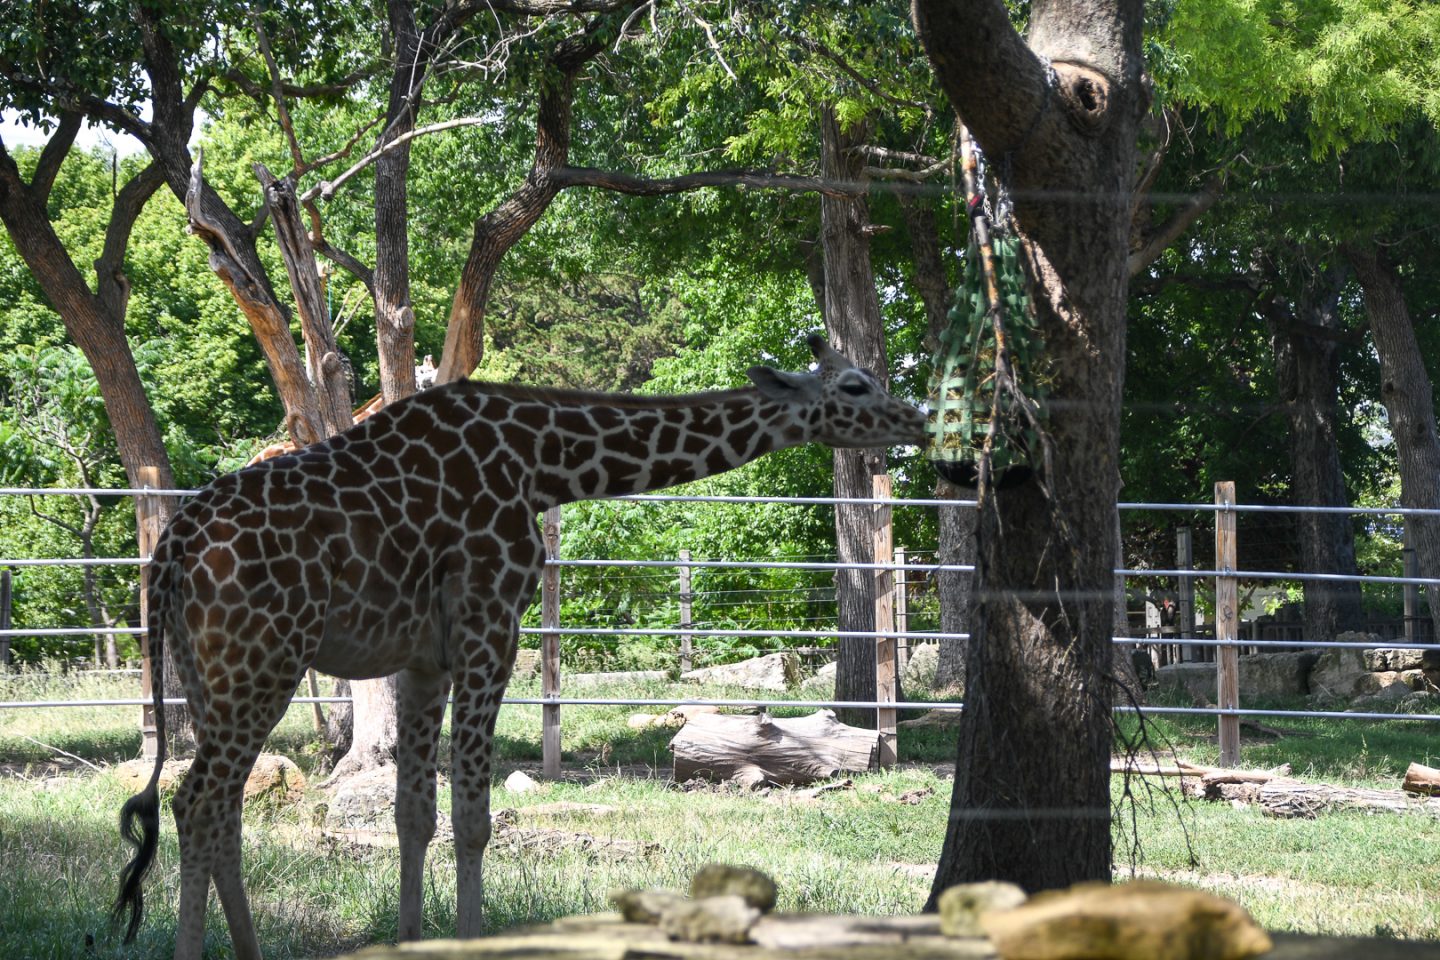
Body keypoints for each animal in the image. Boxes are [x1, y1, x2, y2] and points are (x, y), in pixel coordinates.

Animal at [109, 333, 921, 955]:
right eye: (855, 384)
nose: (914, 417)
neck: (548, 460)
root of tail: (172, 546)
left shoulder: (423, 658)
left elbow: (414, 815)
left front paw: (412, 939)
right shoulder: (490, 628)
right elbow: (473, 820)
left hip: (212, 672)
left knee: (221, 808)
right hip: (262, 661)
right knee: (198, 802)